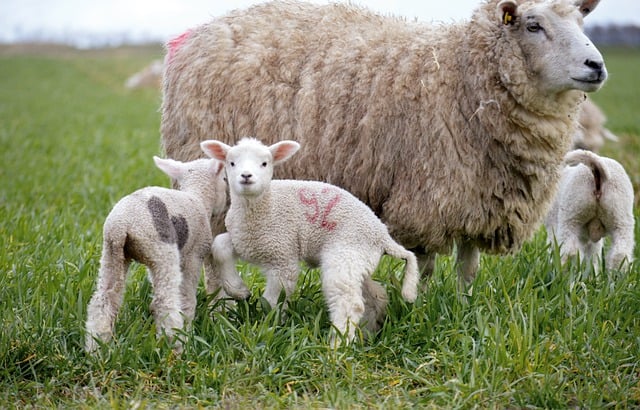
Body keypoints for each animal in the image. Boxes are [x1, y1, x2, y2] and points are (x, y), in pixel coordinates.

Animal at [83, 155, 248, 354]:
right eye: (224, 179)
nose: (227, 204)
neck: (197, 197)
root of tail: (122, 225)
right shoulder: (193, 256)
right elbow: (187, 299)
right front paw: (188, 330)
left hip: (113, 253)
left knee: (103, 300)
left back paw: (96, 349)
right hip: (162, 252)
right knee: (164, 303)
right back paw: (176, 346)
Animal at [159, 0, 604, 286]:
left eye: (582, 22)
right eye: (533, 25)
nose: (596, 66)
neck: (464, 75)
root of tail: (194, 35)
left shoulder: (475, 197)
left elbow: (468, 266)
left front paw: (464, 303)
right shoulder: (427, 196)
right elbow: (425, 263)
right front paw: (425, 304)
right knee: (211, 252)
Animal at [200, 138, 420, 342]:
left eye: (264, 163)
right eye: (231, 163)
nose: (246, 176)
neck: (264, 207)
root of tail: (384, 236)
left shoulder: (282, 255)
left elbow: (273, 299)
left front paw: (268, 329)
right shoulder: (245, 241)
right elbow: (219, 246)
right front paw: (238, 289)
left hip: (345, 253)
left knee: (349, 302)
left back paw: (337, 345)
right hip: (358, 260)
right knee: (374, 296)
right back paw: (367, 334)